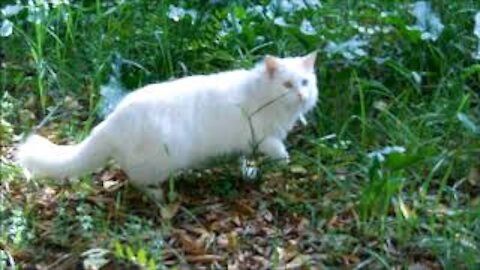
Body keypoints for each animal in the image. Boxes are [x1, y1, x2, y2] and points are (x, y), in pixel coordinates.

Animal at [15, 52, 318, 199]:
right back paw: (157, 195)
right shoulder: (265, 138)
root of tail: (111, 121)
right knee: (135, 180)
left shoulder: (247, 144)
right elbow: (281, 152)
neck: (261, 94)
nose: (302, 95)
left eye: (305, 82)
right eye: (287, 85)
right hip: (161, 161)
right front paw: (284, 165)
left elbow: (245, 162)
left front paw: (250, 173)